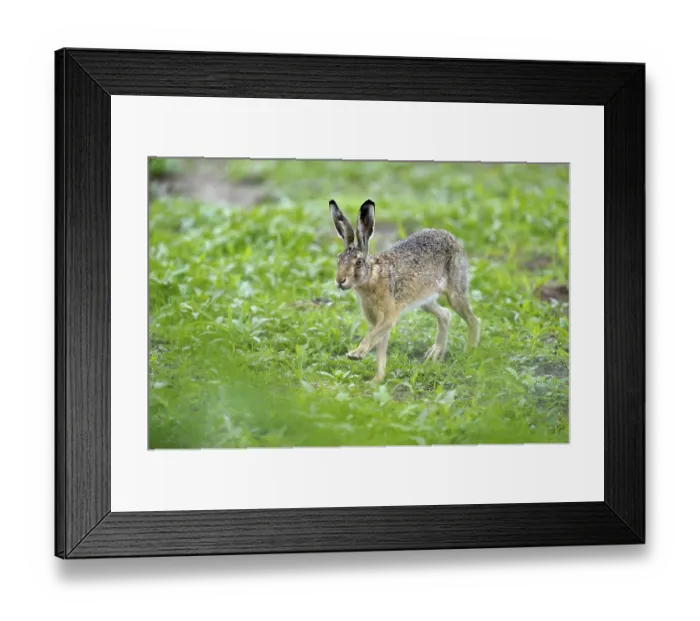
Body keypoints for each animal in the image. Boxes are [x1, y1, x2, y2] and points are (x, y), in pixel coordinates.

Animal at [330, 199, 481, 383]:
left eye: (358, 262)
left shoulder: (387, 317)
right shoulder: (378, 321)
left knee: (473, 320)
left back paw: (469, 354)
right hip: (424, 300)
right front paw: (377, 380)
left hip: (455, 292)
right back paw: (435, 353)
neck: (372, 275)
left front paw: (355, 354)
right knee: (445, 315)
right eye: (338, 259)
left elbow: (372, 337)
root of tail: (453, 239)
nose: (340, 281)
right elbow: (380, 348)